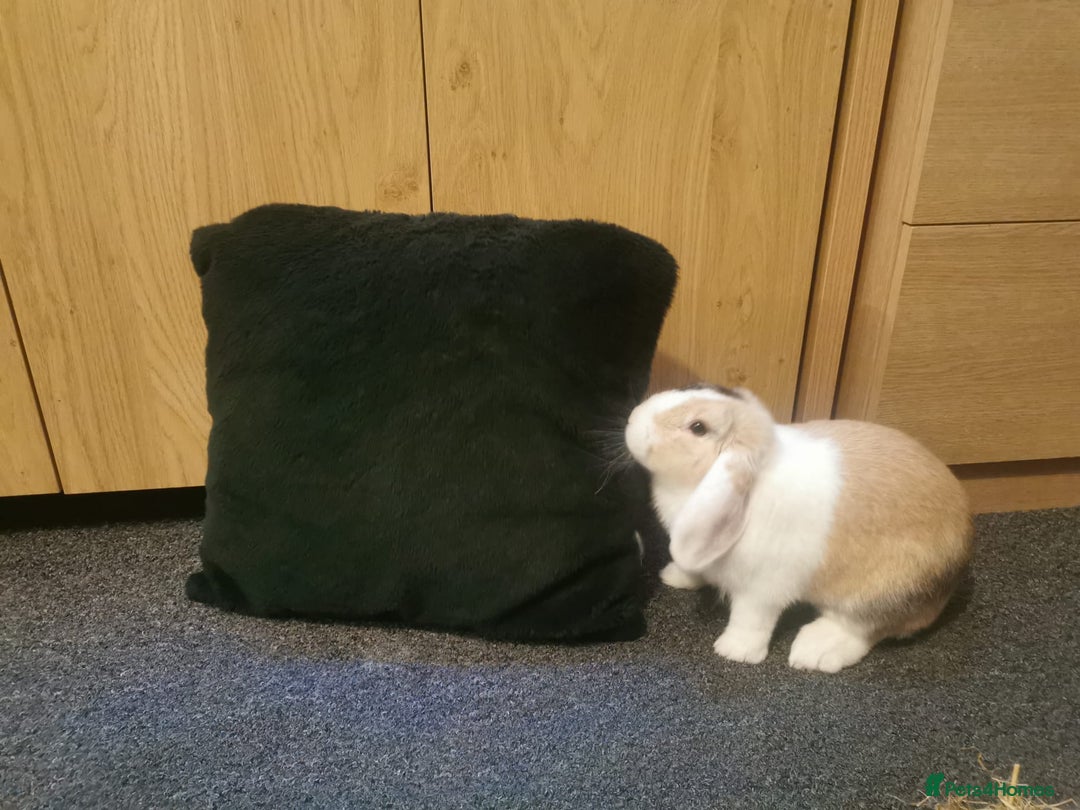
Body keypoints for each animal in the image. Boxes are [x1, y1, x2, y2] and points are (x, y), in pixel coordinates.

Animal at [624, 383, 973, 672]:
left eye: (698, 428)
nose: (632, 418)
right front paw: (675, 577)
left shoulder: (763, 587)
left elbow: (751, 618)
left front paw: (735, 651)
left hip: (885, 591)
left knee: (864, 628)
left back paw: (814, 651)